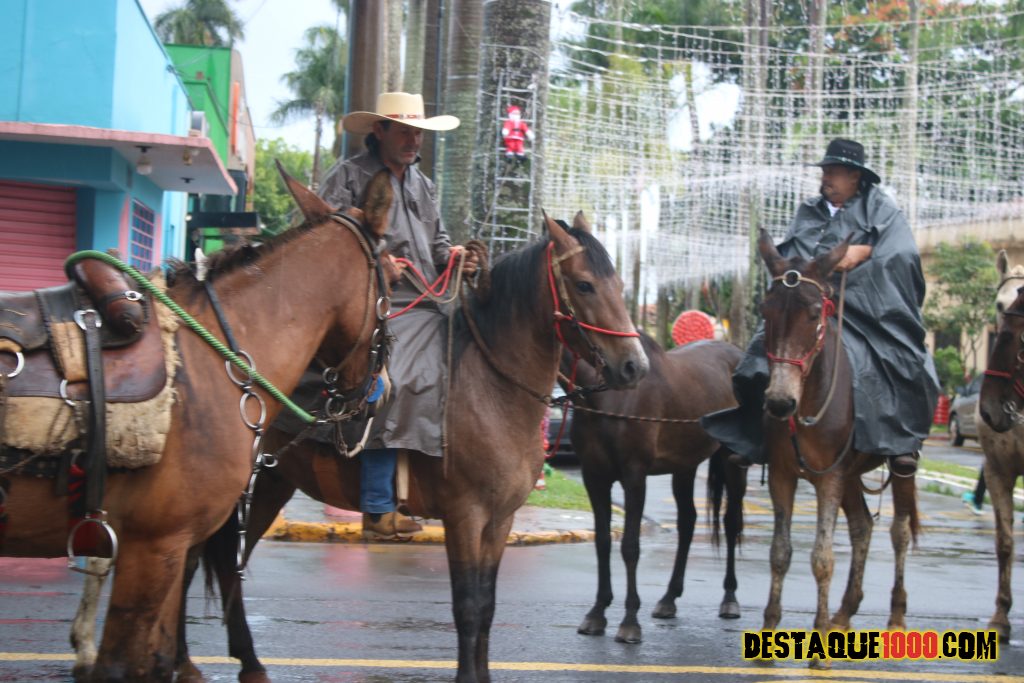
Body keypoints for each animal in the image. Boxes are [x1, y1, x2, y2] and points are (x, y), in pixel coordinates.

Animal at [2, 167, 391, 682]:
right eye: (395, 282)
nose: (376, 394)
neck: (212, 361)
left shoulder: (174, 545)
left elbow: (159, 658)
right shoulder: (154, 547)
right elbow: (123, 665)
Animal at [563, 335, 746, 644]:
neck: (610, 397)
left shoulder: (634, 476)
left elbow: (630, 546)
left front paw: (629, 623)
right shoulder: (594, 477)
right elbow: (603, 542)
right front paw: (597, 613)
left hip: (731, 460)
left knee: (731, 522)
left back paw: (730, 599)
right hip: (684, 466)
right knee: (687, 522)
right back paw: (669, 599)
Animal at [756, 230, 919, 636]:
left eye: (815, 314)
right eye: (765, 311)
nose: (779, 403)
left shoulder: (829, 477)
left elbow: (822, 558)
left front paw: (818, 638)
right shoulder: (783, 474)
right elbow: (780, 552)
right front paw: (770, 626)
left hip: (897, 465)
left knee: (899, 532)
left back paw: (895, 615)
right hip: (850, 474)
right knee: (862, 526)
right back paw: (843, 612)